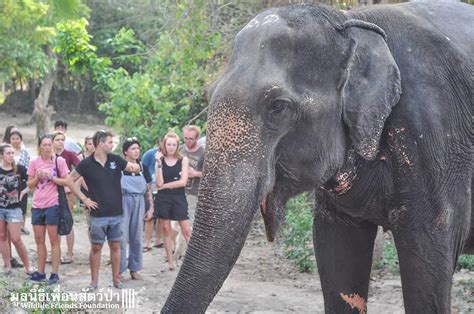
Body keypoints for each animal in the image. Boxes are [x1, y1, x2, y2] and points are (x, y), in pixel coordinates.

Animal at [165, 2, 472, 314]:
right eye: (209, 94)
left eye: (278, 107)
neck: (349, 22)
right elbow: (337, 249)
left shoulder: (435, 136)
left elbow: (427, 254)